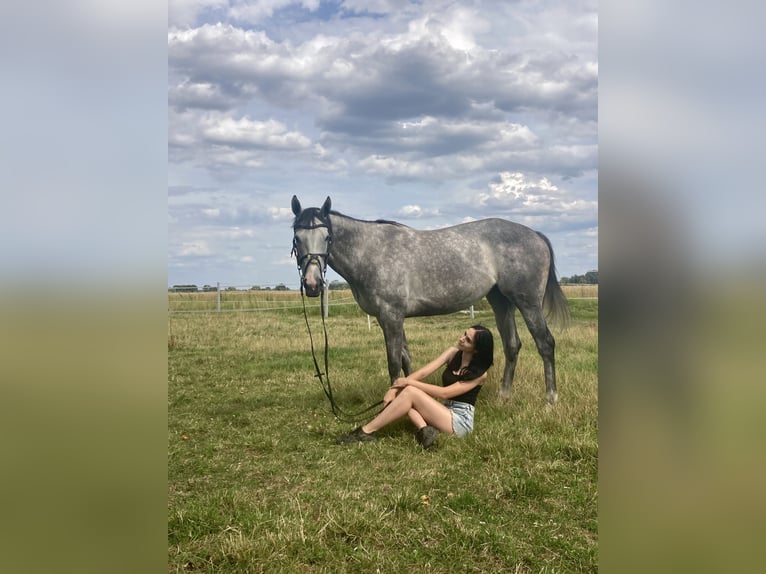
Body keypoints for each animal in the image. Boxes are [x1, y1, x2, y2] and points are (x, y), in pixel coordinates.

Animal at [292, 197, 568, 404]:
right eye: (297, 238)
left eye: (327, 238)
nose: (313, 284)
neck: (371, 251)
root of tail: (536, 234)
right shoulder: (390, 318)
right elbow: (406, 359)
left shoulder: (391, 316)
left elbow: (394, 362)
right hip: (501, 301)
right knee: (512, 345)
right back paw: (504, 396)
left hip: (528, 302)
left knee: (545, 343)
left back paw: (550, 399)